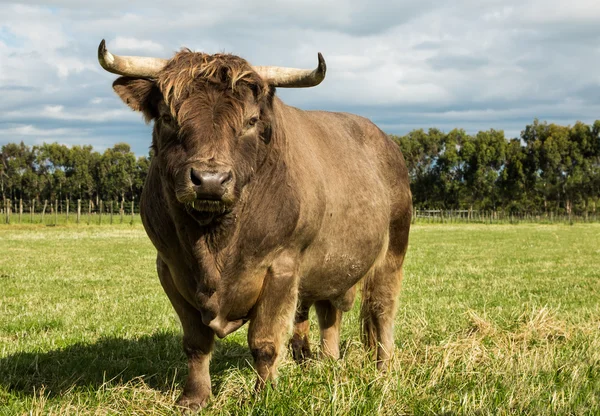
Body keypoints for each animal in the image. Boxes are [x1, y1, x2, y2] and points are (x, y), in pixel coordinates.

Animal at [97, 39, 412, 410]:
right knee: (329, 314)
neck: (214, 240)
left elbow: (264, 342)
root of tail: (386, 142)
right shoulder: (170, 268)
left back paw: (383, 372)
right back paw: (328, 366)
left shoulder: (281, 267)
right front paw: (194, 397)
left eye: (250, 120)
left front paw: (264, 395)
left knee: (381, 312)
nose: (210, 181)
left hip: (392, 254)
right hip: (332, 266)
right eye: (167, 117)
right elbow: (196, 343)